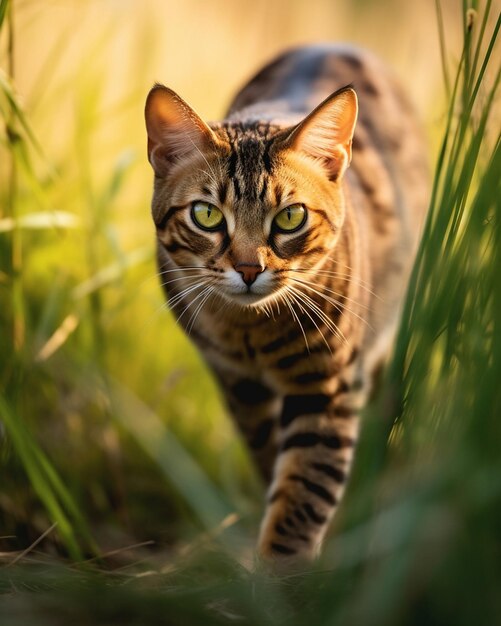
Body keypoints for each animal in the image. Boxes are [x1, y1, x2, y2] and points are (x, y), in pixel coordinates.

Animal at [144, 44, 426, 560]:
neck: (250, 332)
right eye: (206, 214)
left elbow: (303, 496)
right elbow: (272, 461)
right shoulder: (238, 386)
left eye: (290, 217)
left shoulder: (327, 386)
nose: (248, 268)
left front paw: (283, 571)